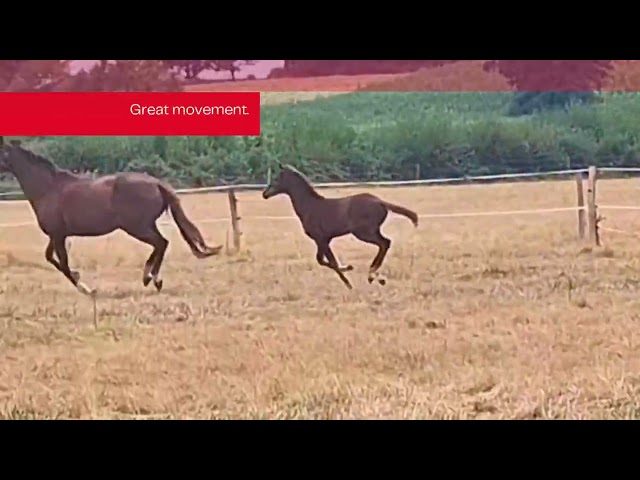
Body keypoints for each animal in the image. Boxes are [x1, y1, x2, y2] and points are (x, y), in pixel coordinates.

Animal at [0, 137, 222, 296]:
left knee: (161, 243)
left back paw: (152, 278)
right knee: (161, 243)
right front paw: (79, 277)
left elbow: (62, 263)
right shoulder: (57, 235)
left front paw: (86, 288)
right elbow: (50, 258)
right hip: (145, 225)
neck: (49, 188)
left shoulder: (58, 235)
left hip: (136, 227)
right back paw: (151, 278)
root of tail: (157, 183)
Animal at [262, 163, 418, 289]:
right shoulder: (324, 239)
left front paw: (348, 283)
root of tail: (380, 201)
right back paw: (375, 276)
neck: (310, 206)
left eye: (276, 178)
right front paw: (348, 267)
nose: (265, 194)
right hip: (370, 231)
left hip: (363, 232)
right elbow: (323, 261)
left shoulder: (321, 239)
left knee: (384, 243)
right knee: (385, 243)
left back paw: (373, 275)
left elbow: (330, 261)